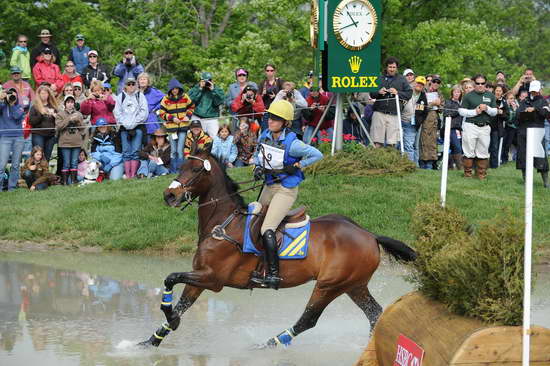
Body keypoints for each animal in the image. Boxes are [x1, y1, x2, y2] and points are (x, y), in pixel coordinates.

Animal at [140, 151, 416, 348]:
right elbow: (181, 303)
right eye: (180, 167)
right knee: (375, 313)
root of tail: (369, 235)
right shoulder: (199, 277)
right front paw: (151, 340)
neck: (223, 223)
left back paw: (268, 343)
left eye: (197, 170)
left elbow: (171, 279)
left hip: (330, 285)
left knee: (308, 320)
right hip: (354, 285)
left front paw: (169, 321)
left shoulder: (213, 278)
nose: (169, 196)